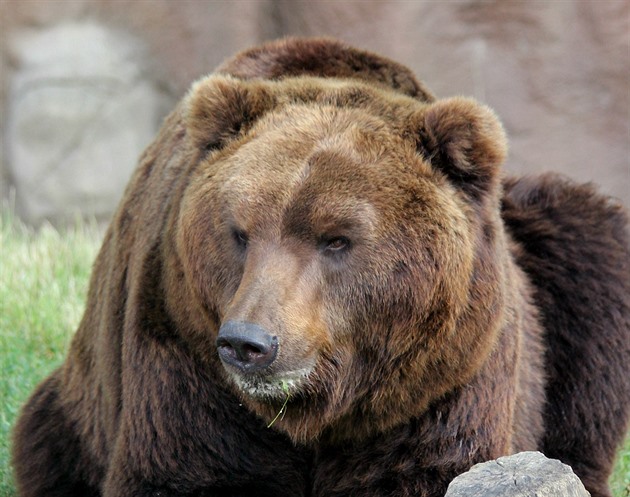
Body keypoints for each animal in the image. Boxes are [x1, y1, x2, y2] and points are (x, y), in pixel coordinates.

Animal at [11, 37, 630, 496]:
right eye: (240, 233)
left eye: (336, 240)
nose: (249, 343)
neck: (322, 411)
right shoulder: (184, 355)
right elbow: (191, 469)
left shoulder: (441, 381)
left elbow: (431, 470)